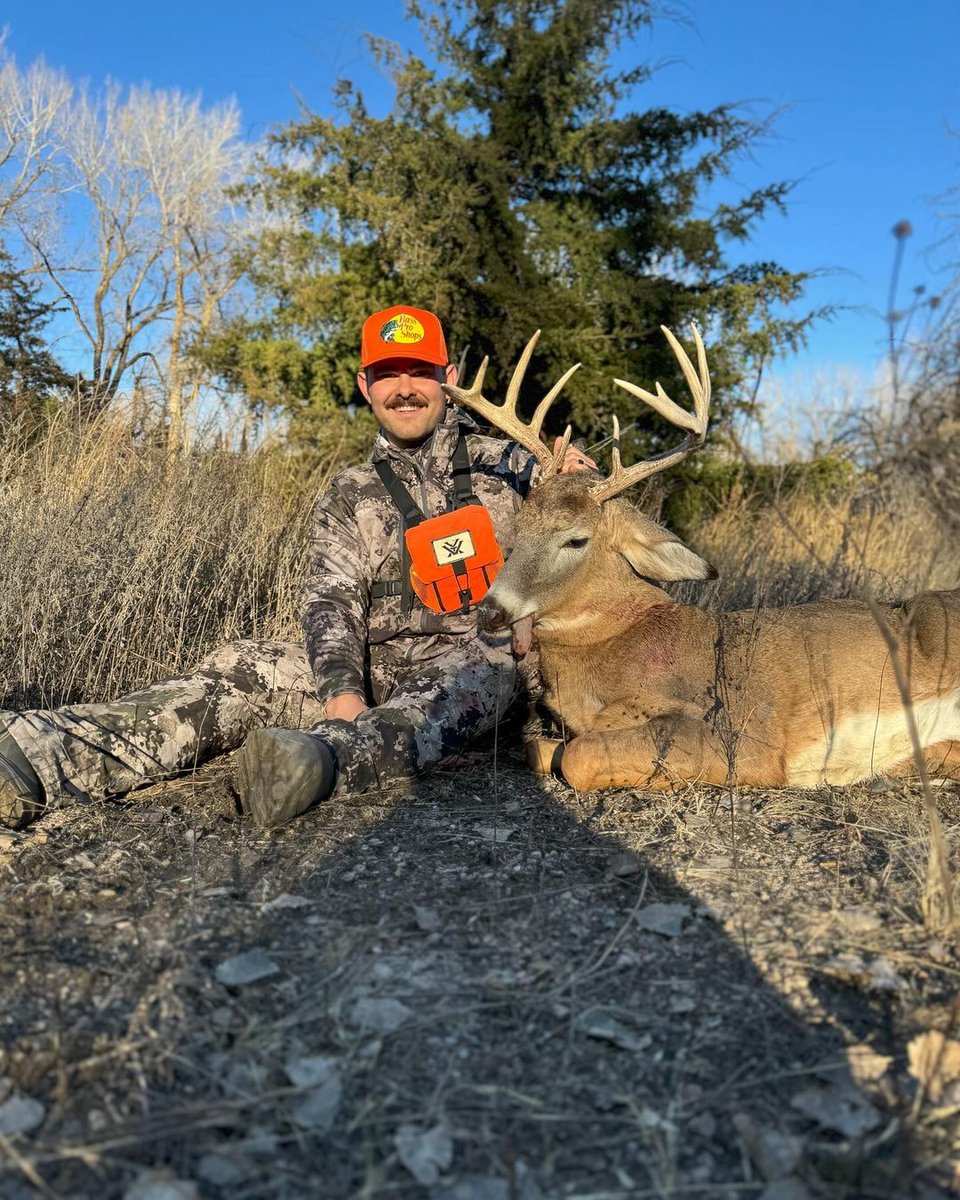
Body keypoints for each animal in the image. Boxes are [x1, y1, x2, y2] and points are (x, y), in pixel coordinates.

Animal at [443, 329, 960, 793]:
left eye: (576, 539)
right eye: (519, 524)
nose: (491, 611)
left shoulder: (741, 737)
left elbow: (578, 757)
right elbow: (540, 748)